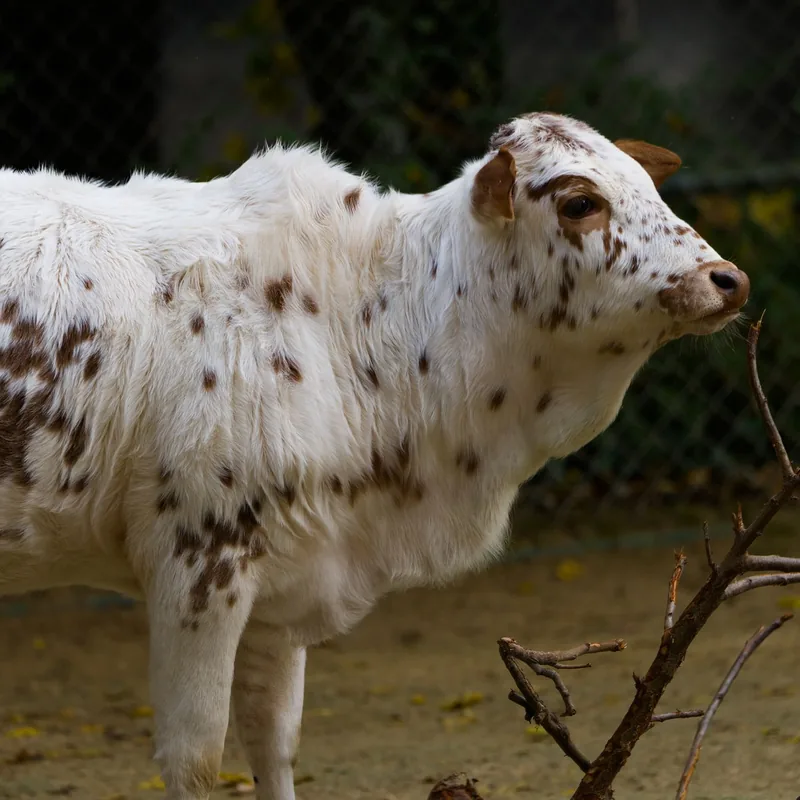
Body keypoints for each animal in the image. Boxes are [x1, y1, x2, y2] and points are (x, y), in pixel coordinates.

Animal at [0, 112, 749, 799]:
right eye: (580, 203)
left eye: (648, 186)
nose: (726, 278)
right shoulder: (197, 562)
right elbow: (197, 760)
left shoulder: (282, 581)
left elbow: (273, 740)